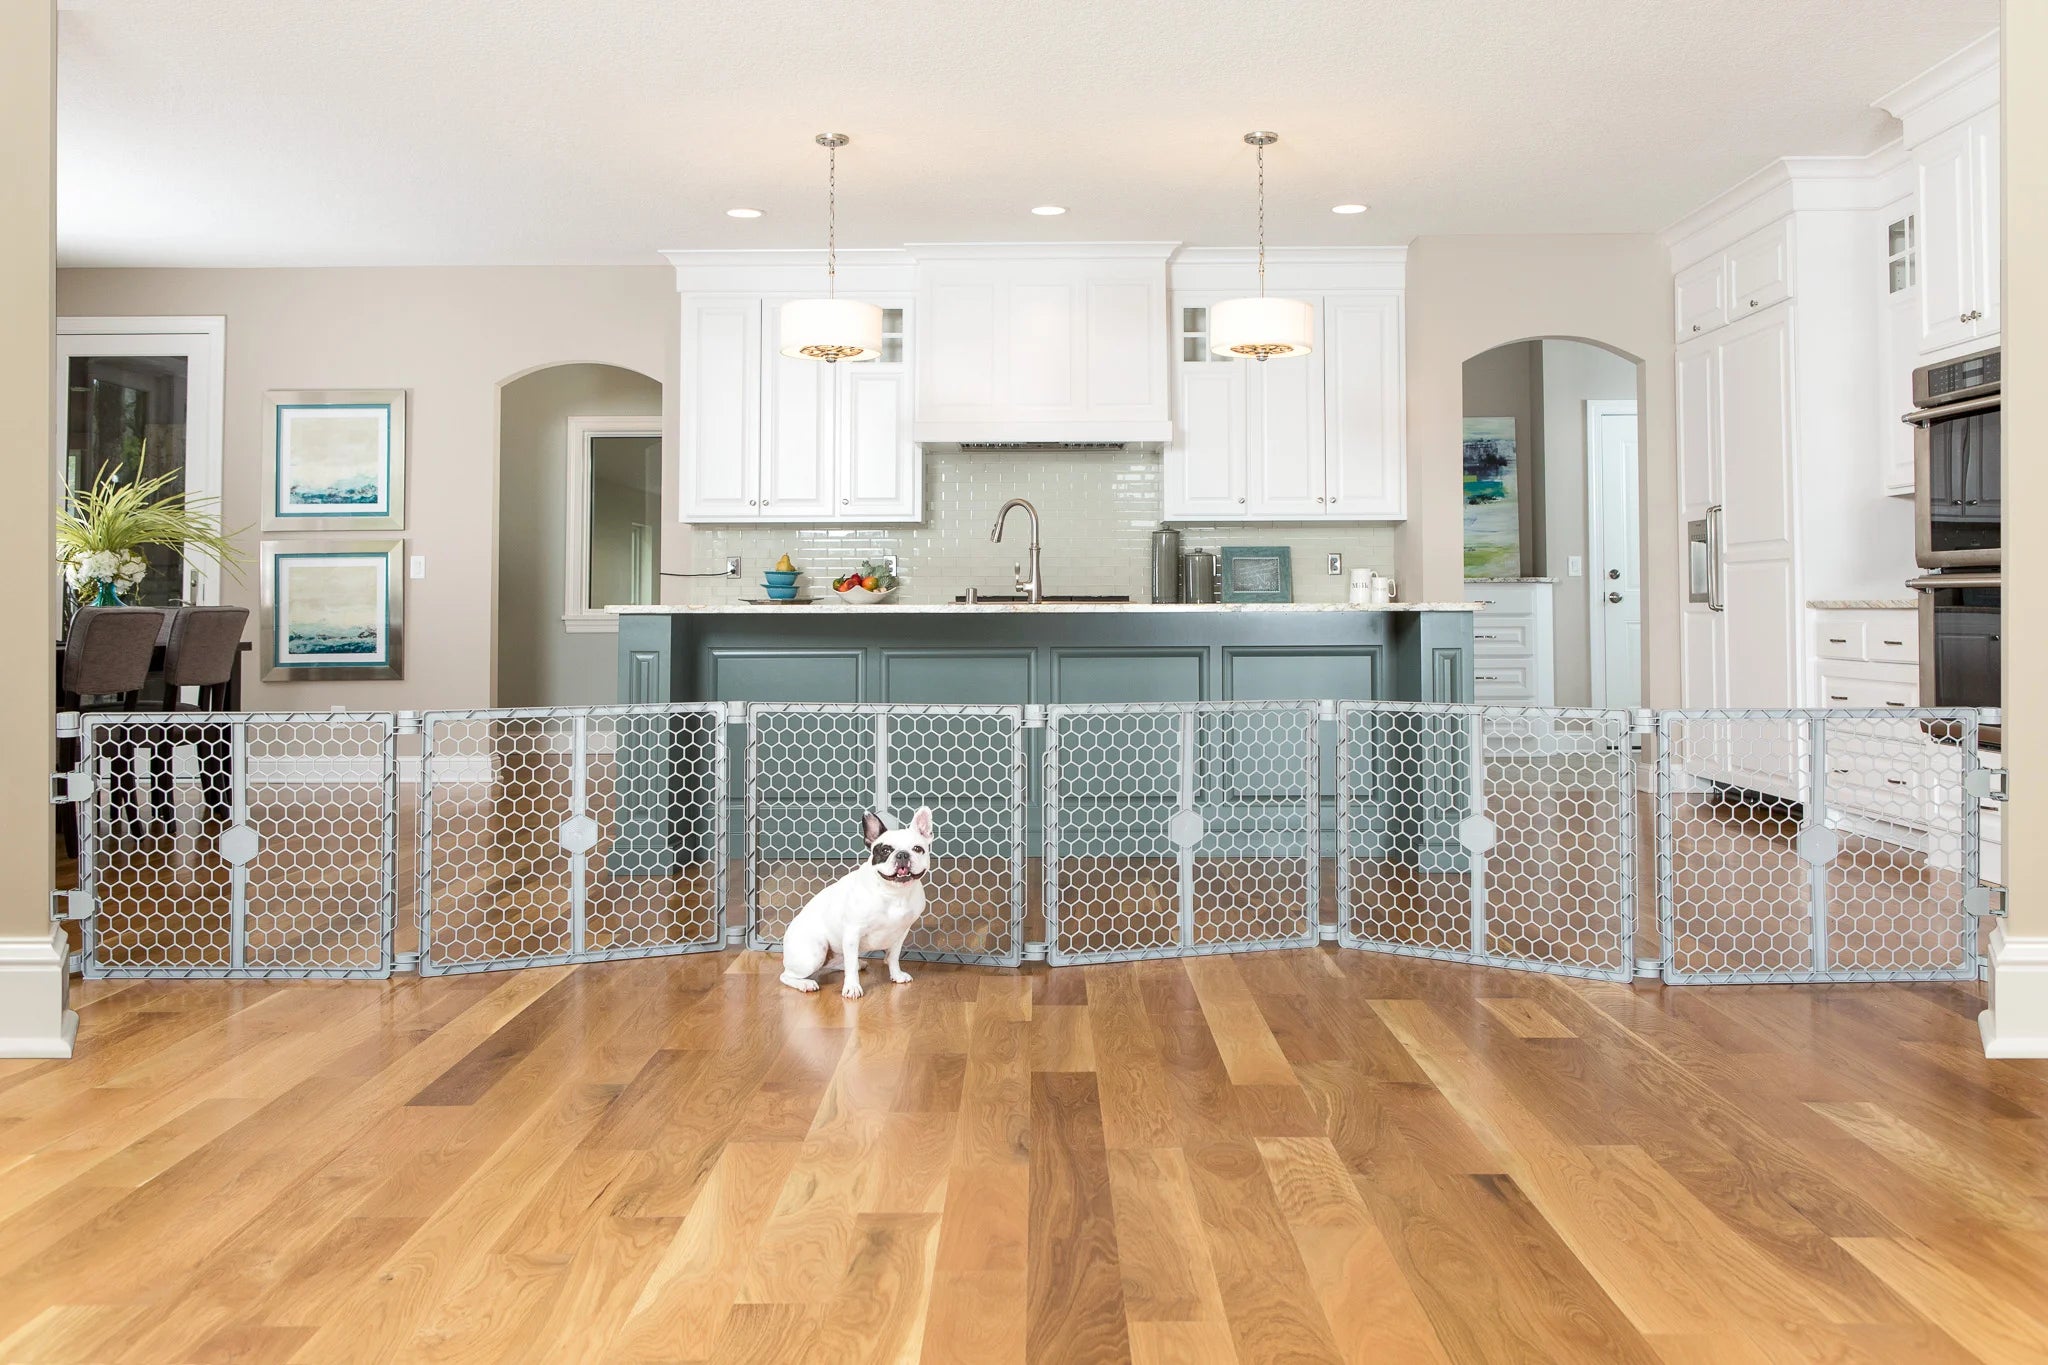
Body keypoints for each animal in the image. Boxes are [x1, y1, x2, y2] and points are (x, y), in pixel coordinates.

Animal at [774, 806, 937, 998]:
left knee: (838, 963)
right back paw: (805, 983)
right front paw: (852, 987)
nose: (902, 854)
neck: (893, 893)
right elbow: (850, 966)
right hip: (815, 951)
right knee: (787, 976)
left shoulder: (900, 933)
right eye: (885, 851)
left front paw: (896, 974)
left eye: (917, 848)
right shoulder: (853, 933)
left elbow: (893, 956)